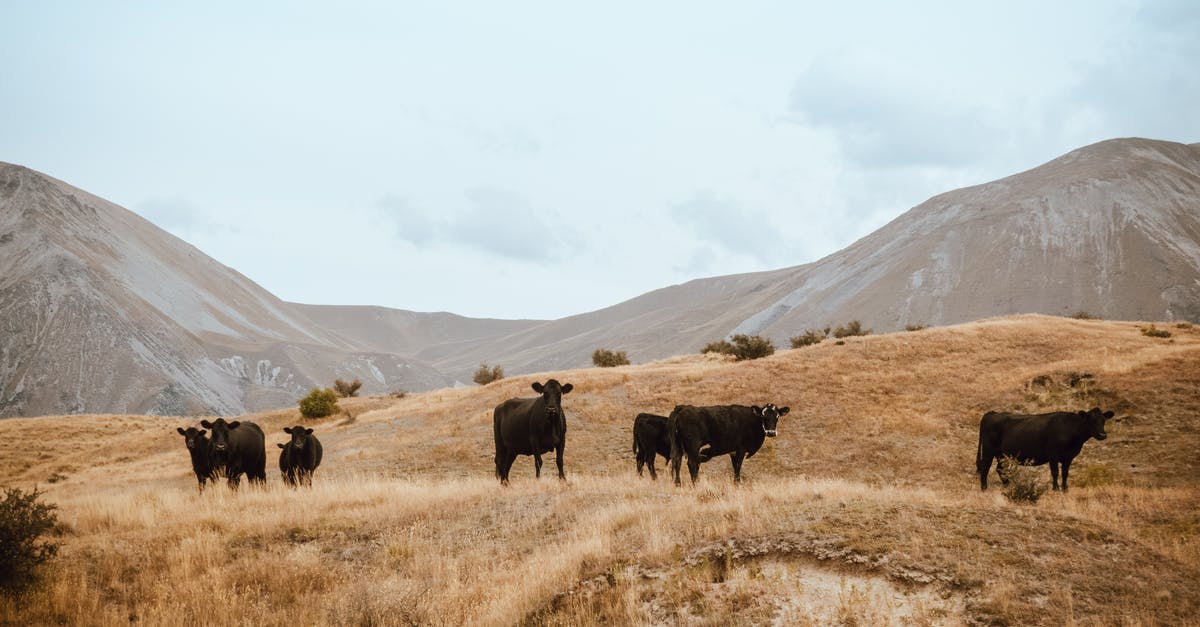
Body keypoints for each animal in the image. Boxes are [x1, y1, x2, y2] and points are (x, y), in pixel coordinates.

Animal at [974, 408, 1113, 490]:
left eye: (1103, 420)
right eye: (1091, 421)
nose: (1102, 435)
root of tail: (992, 413)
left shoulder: (1068, 457)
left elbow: (1065, 473)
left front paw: (1065, 489)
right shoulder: (1053, 454)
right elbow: (1055, 472)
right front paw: (1055, 489)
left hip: (1001, 453)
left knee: (1000, 469)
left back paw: (1008, 486)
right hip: (989, 449)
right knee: (985, 467)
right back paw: (984, 488)